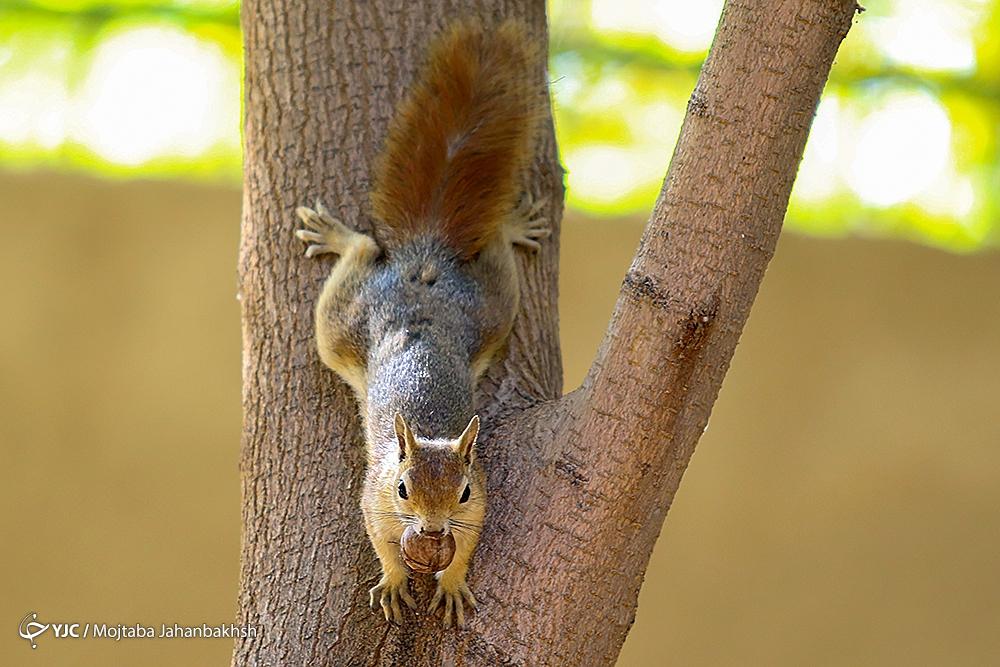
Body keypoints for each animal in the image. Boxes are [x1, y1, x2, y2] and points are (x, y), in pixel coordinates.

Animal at [292, 19, 552, 628]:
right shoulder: (373, 498)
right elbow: (380, 541)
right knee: (363, 250)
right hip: (342, 329)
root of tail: (423, 265)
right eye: (404, 488)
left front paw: (451, 582)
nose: (433, 530)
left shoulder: (481, 504)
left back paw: (511, 225)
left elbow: (469, 546)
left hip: (490, 314)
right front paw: (392, 580)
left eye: (461, 494)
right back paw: (339, 235)